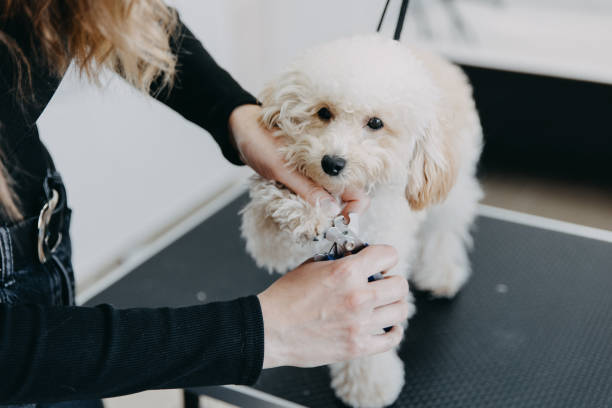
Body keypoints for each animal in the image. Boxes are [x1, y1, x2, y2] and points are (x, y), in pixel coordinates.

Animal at [239, 35, 482, 408]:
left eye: (376, 123)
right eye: (324, 112)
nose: (332, 162)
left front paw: (369, 386)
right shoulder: (273, 242)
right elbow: (273, 224)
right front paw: (299, 206)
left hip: (452, 187)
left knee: (445, 228)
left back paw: (441, 272)